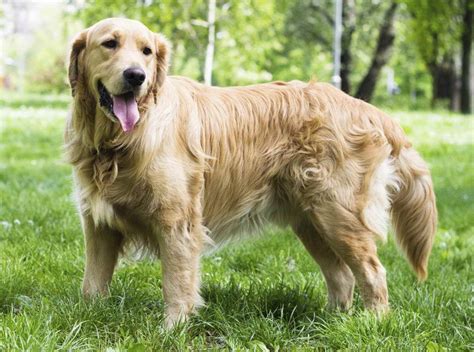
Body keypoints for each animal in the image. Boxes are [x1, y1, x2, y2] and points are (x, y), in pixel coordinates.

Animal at [64, 18, 436, 328]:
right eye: (110, 43)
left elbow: (177, 283)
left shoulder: (177, 222)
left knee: (373, 272)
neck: (118, 142)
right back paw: (329, 322)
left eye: (147, 51)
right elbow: (92, 282)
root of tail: (364, 106)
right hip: (312, 220)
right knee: (342, 275)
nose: (136, 76)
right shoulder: (98, 224)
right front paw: (89, 317)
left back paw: (373, 323)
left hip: (338, 214)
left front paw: (172, 330)